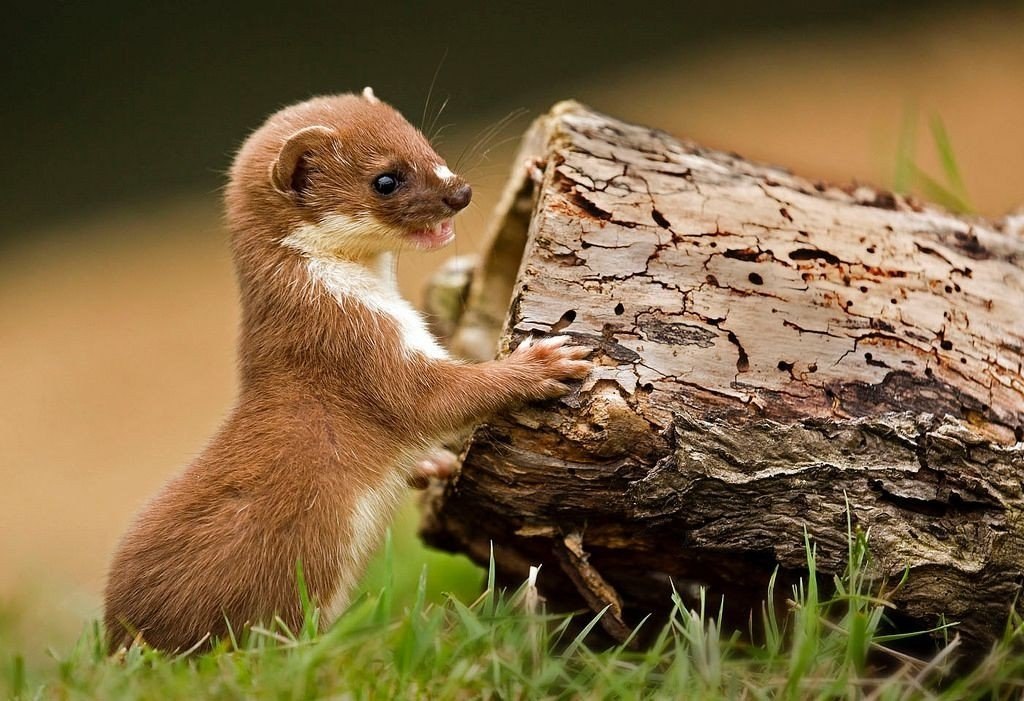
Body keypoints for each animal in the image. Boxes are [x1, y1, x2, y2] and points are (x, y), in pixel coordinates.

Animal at [101, 90, 593, 654]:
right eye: (386, 179)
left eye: (425, 142)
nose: (461, 193)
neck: (361, 297)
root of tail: (115, 634)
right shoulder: (352, 345)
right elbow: (437, 398)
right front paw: (546, 362)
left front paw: (433, 467)